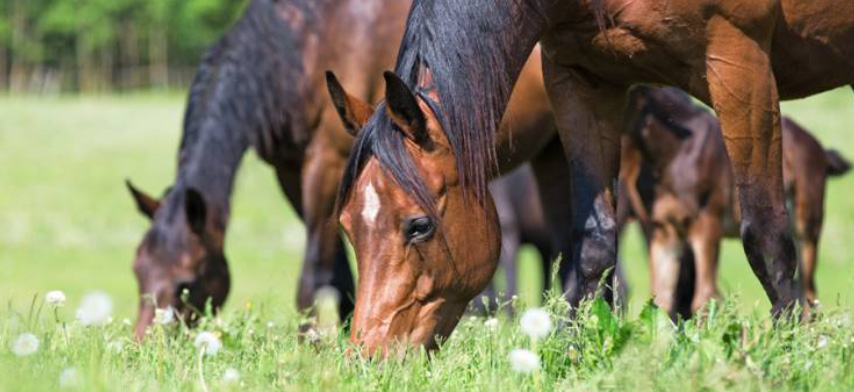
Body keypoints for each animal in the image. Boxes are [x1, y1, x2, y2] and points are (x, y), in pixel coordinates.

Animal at [124, 0, 414, 338]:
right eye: (138, 270)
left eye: (187, 283)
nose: (145, 342)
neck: (304, 47)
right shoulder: (289, 172)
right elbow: (337, 272)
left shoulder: (329, 161)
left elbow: (314, 270)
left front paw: (310, 345)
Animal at [620, 87, 854, 320]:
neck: (675, 153)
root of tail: (820, 150)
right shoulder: (663, 231)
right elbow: (661, 299)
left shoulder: (707, 226)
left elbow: (705, 297)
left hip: (807, 228)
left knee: (809, 293)